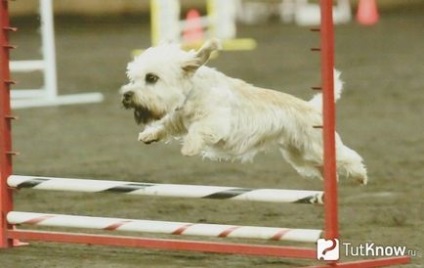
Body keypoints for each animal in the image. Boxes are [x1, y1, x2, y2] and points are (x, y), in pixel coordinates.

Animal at [120, 39, 368, 184]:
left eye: (152, 78)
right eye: (133, 78)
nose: (127, 95)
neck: (192, 92)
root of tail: (312, 107)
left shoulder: (217, 122)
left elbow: (199, 130)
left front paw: (190, 147)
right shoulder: (179, 119)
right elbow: (167, 124)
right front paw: (149, 134)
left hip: (317, 147)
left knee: (349, 157)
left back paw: (360, 176)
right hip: (299, 155)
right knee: (325, 166)